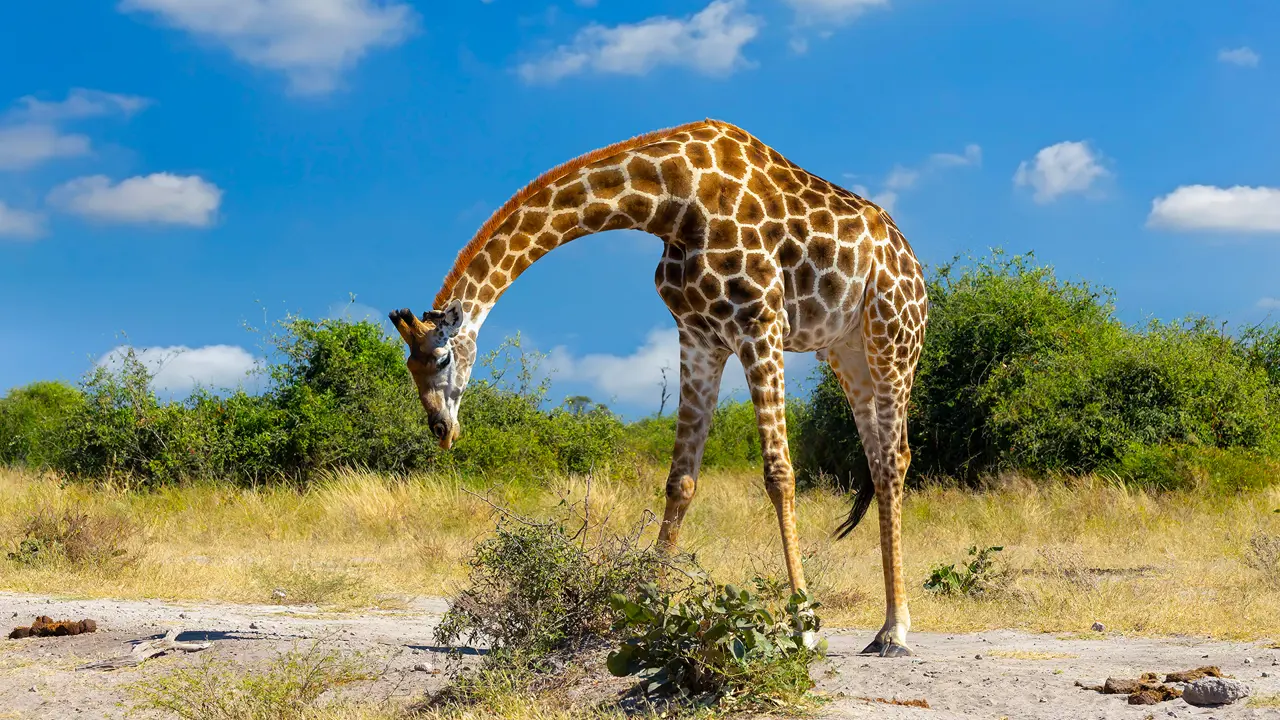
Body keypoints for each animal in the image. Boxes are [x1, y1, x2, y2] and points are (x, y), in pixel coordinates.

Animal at [384, 117, 926, 655]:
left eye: (442, 357)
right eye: (409, 367)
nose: (441, 430)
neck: (672, 201)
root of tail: (912, 262)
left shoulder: (760, 323)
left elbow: (779, 474)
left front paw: (805, 628)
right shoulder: (699, 335)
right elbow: (679, 481)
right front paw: (645, 616)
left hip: (893, 339)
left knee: (895, 459)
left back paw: (895, 630)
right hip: (846, 353)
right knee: (880, 459)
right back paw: (885, 628)